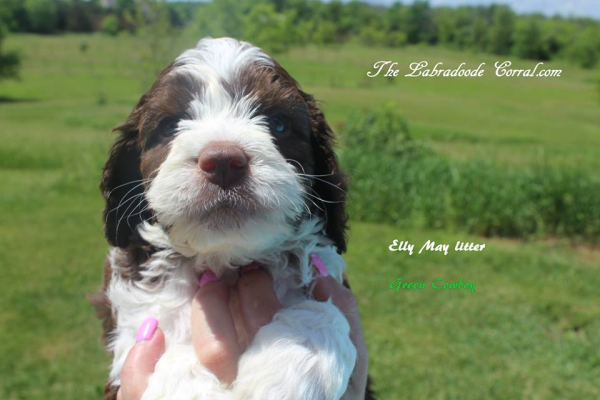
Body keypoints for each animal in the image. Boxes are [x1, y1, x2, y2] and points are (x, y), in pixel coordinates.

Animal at [95, 37, 370, 400]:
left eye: (278, 124)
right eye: (169, 126)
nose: (224, 161)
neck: (226, 261)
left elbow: (323, 312)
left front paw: (283, 373)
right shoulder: (133, 318)